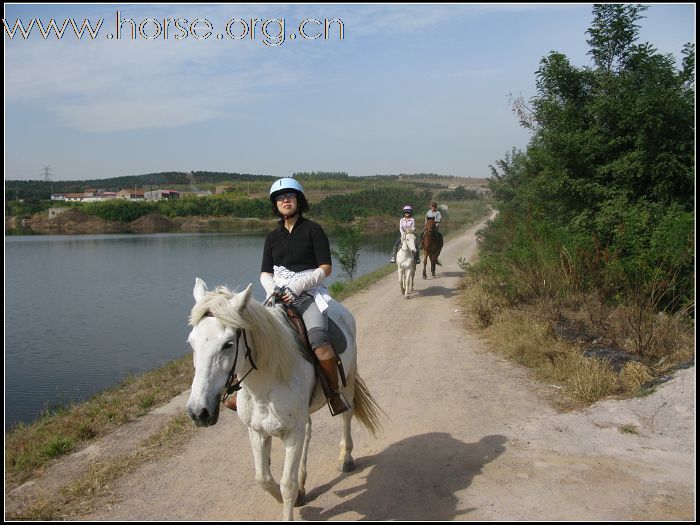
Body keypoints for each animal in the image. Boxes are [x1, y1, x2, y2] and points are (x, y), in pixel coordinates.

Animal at [186, 278, 382, 520]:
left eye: (228, 344)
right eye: (191, 342)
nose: (198, 412)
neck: (265, 387)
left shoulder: (292, 433)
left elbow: (287, 484)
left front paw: (292, 496)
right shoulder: (257, 431)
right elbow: (263, 478)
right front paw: (296, 494)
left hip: (347, 385)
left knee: (346, 415)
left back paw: (345, 459)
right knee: (309, 431)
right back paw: (304, 481)